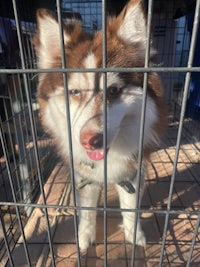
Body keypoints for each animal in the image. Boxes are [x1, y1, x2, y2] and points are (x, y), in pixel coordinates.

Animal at [34, 0, 166, 251]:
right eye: (75, 92)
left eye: (113, 90)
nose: (89, 140)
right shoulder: (83, 174)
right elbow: (86, 211)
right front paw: (84, 238)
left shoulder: (133, 171)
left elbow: (131, 207)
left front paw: (134, 234)